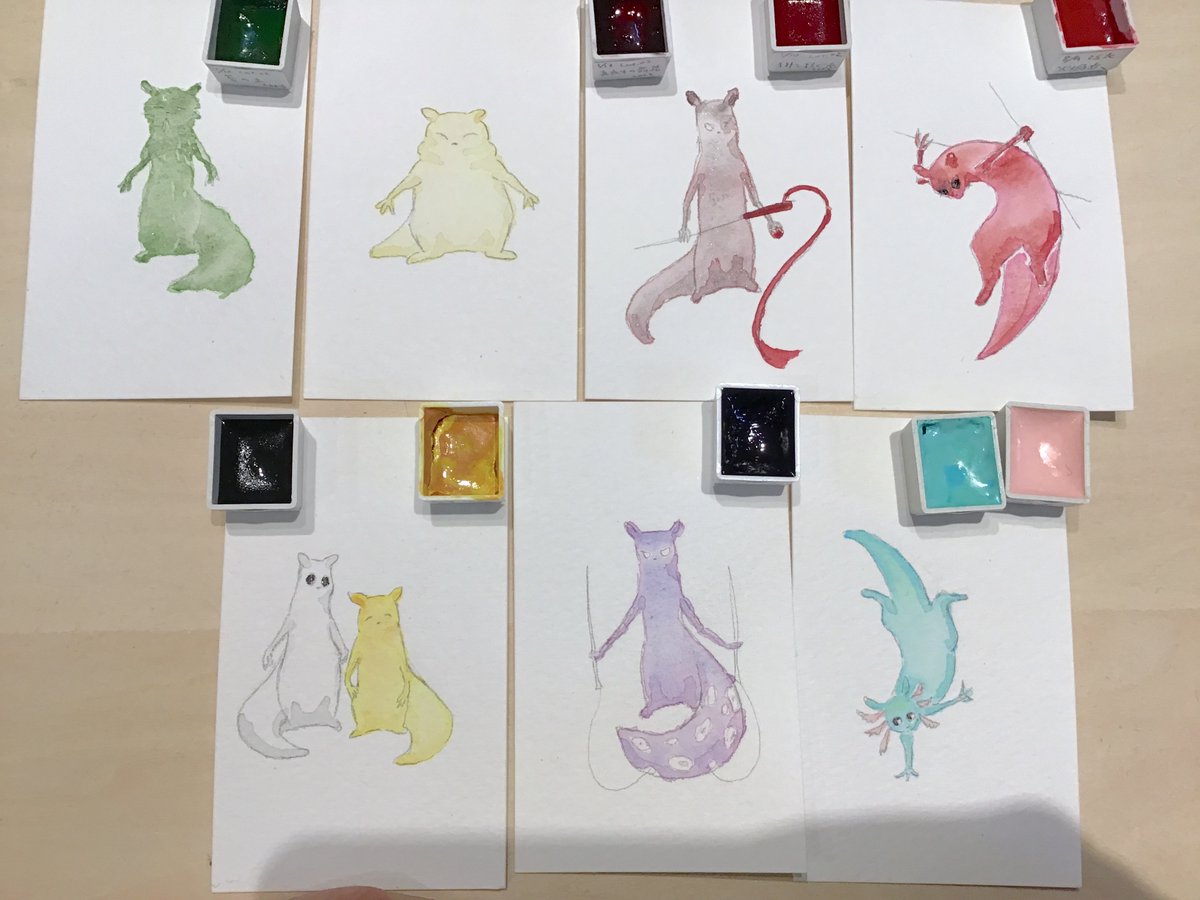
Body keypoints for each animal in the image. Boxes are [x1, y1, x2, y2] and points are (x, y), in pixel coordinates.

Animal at [118, 81, 254, 298]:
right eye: (159, 99)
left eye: (181, 104)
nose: (145, 84)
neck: (170, 128)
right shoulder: (151, 146)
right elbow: (141, 161)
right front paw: (125, 182)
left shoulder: (191, 141)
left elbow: (202, 155)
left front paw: (212, 173)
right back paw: (147, 256)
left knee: (188, 253)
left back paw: (175, 279)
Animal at [237, 553, 348, 760]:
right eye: (310, 578)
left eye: (325, 580)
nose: (320, 586)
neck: (312, 607)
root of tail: (309, 719)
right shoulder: (291, 620)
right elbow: (280, 633)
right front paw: (268, 653)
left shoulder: (329, 622)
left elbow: (336, 635)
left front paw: (344, 653)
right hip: (290, 698)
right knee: (293, 711)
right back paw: (291, 725)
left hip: (329, 695)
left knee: (326, 707)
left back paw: (328, 721)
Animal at [345, 588, 453, 766]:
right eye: (370, 617)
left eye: (387, 615)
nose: (379, 623)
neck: (379, 639)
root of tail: (380, 725)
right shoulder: (357, 647)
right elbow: (349, 666)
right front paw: (350, 686)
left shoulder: (400, 651)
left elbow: (404, 670)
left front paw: (404, 691)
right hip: (358, 704)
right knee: (362, 720)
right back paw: (357, 732)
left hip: (399, 710)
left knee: (396, 721)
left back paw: (398, 731)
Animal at [371, 107, 539, 263]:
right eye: (442, 135)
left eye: (467, 135)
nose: (454, 143)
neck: (455, 162)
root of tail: (460, 247)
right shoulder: (420, 169)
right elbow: (408, 181)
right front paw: (388, 199)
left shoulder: (492, 165)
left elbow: (507, 177)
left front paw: (528, 194)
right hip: (424, 228)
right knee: (433, 248)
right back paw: (423, 255)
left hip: (499, 223)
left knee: (493, 245)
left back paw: (500, 254)